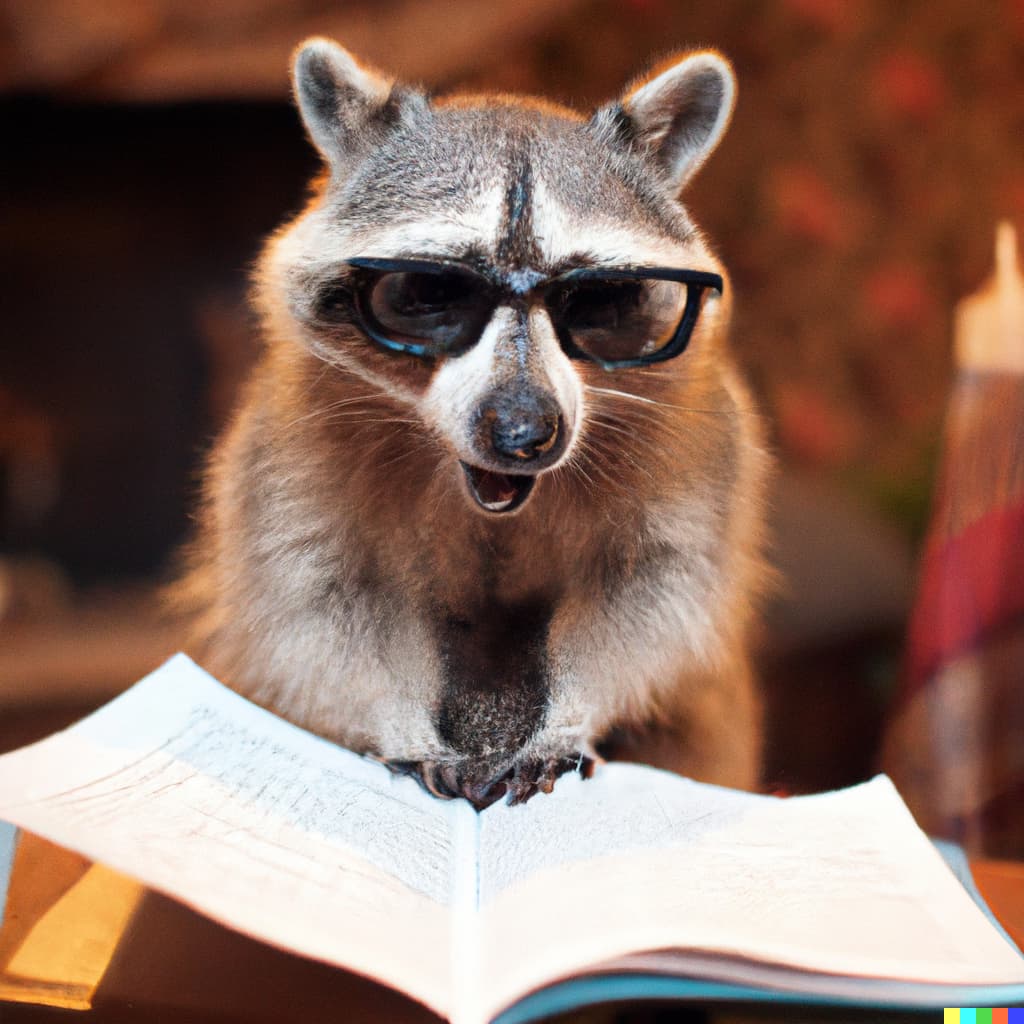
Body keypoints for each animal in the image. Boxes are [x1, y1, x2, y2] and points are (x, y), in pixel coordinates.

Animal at [174, 37, 770, 806]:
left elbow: (655, 599)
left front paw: (571, 714)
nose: (524, 434)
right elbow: (320, 609)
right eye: (429, 291)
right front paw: (394, 714)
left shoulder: (699, 448)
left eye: (599, 300)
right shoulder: (287, 448)